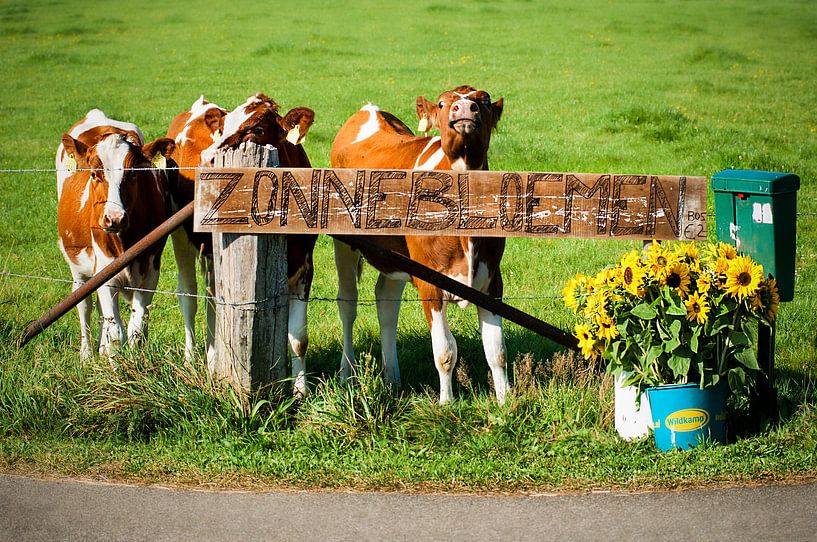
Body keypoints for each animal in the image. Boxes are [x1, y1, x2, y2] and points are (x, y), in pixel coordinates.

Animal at [55, 110, 175, 362]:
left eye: (132, 174)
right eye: (94, 174)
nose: (115, 218)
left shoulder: (150, 273)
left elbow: (135, 329)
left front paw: (136, 364)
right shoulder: (105, 273)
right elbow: (116, 333)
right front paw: (115, 366)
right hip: (79, 269)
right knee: (84, 305)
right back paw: (87, 354)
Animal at [166, 95, 316, 398]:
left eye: (257, 129)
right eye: (222, 128)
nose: (207, 158)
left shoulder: (306, 265)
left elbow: (298, 338)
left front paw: (300, 391)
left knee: (213, 299)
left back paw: (213, 361)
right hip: (180, 236)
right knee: (188, 296)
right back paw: (191, 360)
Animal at [328, 85, 506, 406]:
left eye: (484, 101)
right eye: (443, 103)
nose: (464, 108)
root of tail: (369, 110)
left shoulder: (491, 280)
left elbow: (496, 350)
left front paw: (507, 401)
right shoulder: (430, 283)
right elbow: (445, 352)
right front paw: (446, 404)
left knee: (386, 302)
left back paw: (392, 379)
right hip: (343, 244)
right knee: (347, 303)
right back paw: (346, 373)